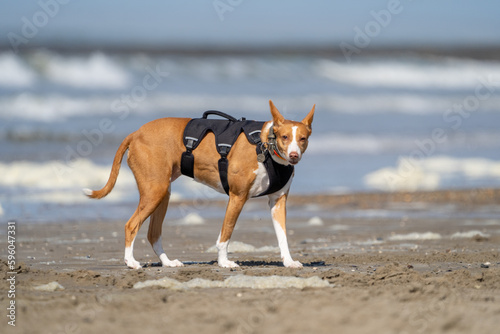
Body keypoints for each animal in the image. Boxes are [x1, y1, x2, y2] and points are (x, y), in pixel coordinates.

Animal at [83, 99, 314, 268]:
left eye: (302, 139)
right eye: (285, 137)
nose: (294, 155)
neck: (265, 146)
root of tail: (136, 133)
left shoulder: (277, 202)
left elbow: (283, 237)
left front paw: (289, 262)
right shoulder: (237, 197)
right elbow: (225, 234)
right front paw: (224, 262)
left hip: (162, 194)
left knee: (153, 234)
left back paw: (167, 262)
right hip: (155, 192)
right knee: (131, 225)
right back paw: (131, 261)